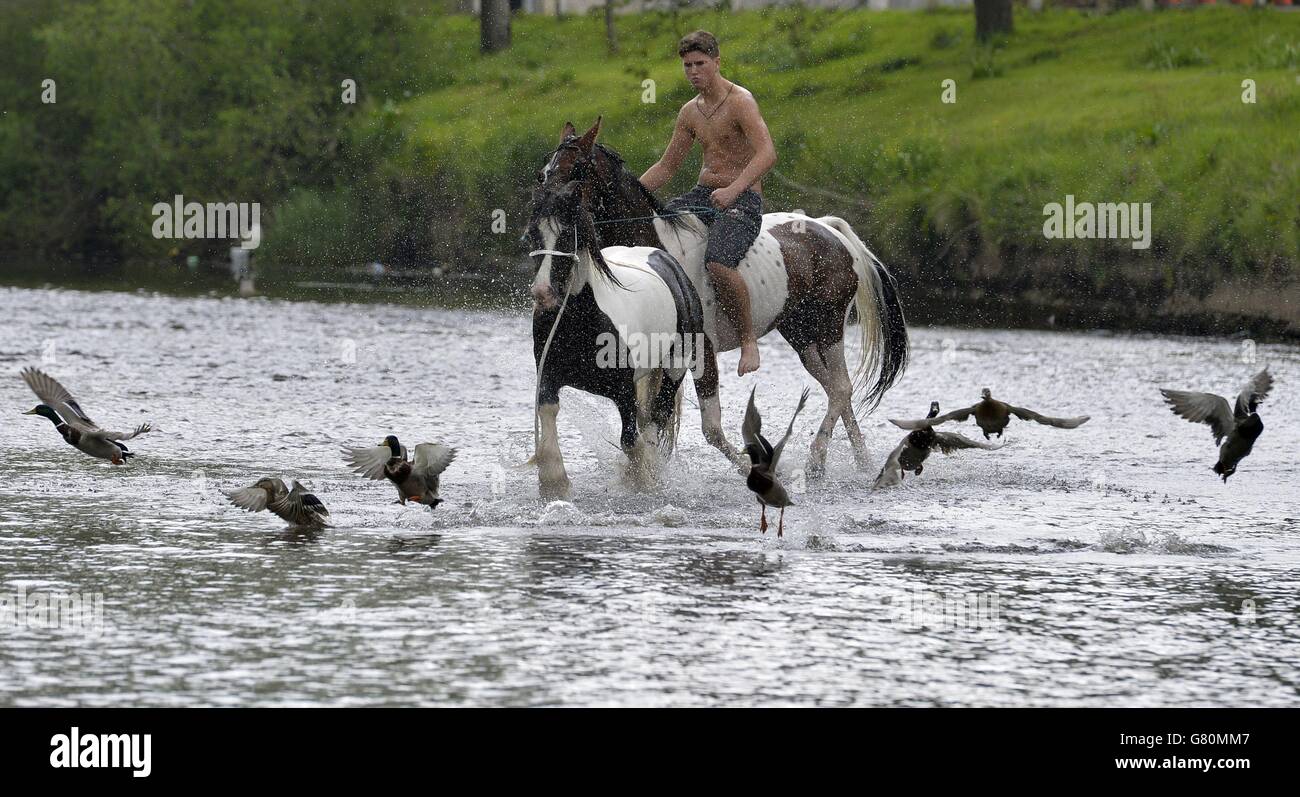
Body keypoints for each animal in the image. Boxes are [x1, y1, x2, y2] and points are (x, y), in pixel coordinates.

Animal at [525, 178, 707, 496]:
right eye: (534, 234)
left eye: (566, 235)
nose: (543, 294)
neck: (582, 323)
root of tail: (673, 267)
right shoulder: (547, 376)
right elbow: (547, 419)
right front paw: (555, 485)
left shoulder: (624, 391)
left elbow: (631, 441)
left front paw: (642, 484)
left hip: (674, 370)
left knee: (655, 420)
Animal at [538, 119, 915, 473]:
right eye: (545, 171)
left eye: (576, 168)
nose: (545, 207)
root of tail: (828, 227)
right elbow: (651, 421)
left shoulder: (700, 349)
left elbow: (709, 428)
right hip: (800, 333)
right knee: (835, 389)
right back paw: (860, 460)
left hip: (829, 326)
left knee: (841, 388)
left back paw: (817, 459)